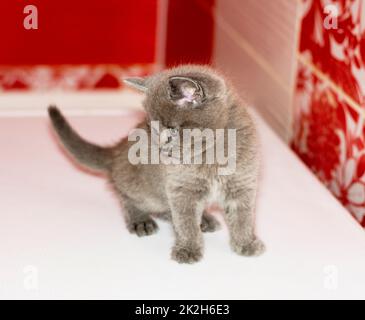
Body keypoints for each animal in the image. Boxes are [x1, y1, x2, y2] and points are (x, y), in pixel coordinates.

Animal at [48, 64, 264, 262]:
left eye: (172, 131)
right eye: (153, 128)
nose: (160, 148)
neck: (211, 152)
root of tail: (117, 150)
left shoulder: (242, 183)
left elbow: (243, 217)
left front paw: (246, 243)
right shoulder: (180, 188)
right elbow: (185, 221)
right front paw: (188, 250)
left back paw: (204, 219)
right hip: (140, 186)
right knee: (126, 196)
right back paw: (141, 220)